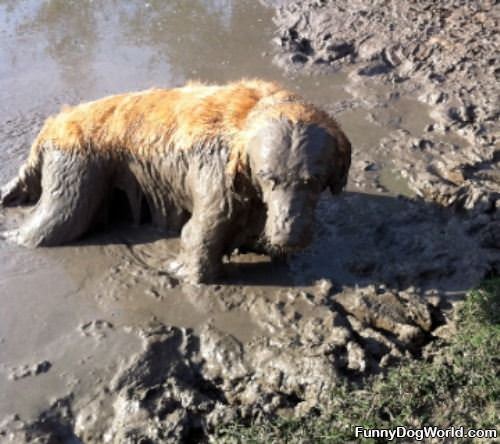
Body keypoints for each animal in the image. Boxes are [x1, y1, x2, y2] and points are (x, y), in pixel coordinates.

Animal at [0, 78, 352, 282]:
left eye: (313, 181)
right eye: (269, 179)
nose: (288, 236)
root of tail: (51, 126)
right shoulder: (218, 190)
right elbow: (198, 236)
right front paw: (185, 272)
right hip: (74, 181)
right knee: (44, 227)